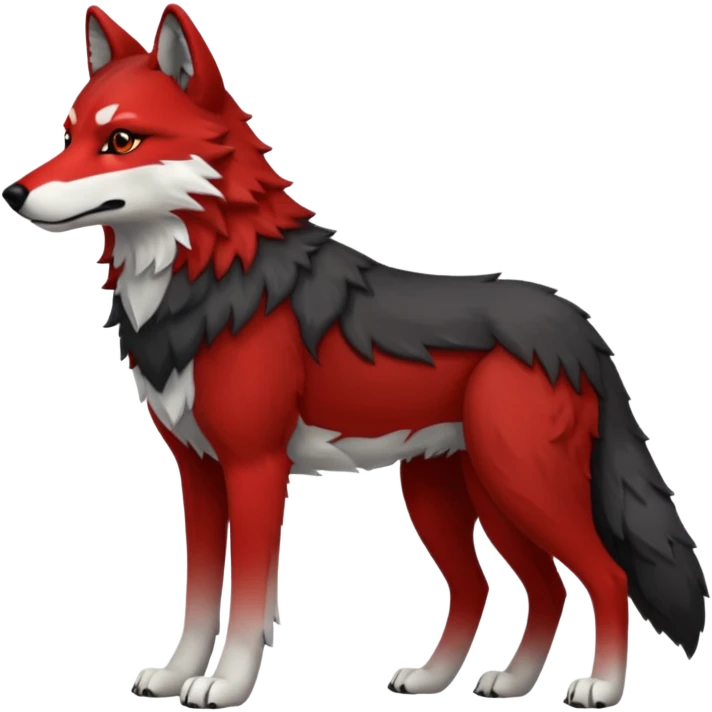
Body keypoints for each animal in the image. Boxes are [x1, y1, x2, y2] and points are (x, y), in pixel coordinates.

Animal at [3, 3, 707, 709]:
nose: (14, 193)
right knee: (516, 587)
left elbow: (250, 599)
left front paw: (225, 685)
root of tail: (578, 325)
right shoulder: (198, 474)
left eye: (122, 141)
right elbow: (200, 596)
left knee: (605, 577)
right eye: (68, 134)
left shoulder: (255, 470)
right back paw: (477, 680)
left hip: (523, 487)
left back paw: (600, 686)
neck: (210, 282)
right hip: (463, 496)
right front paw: (176, 675)